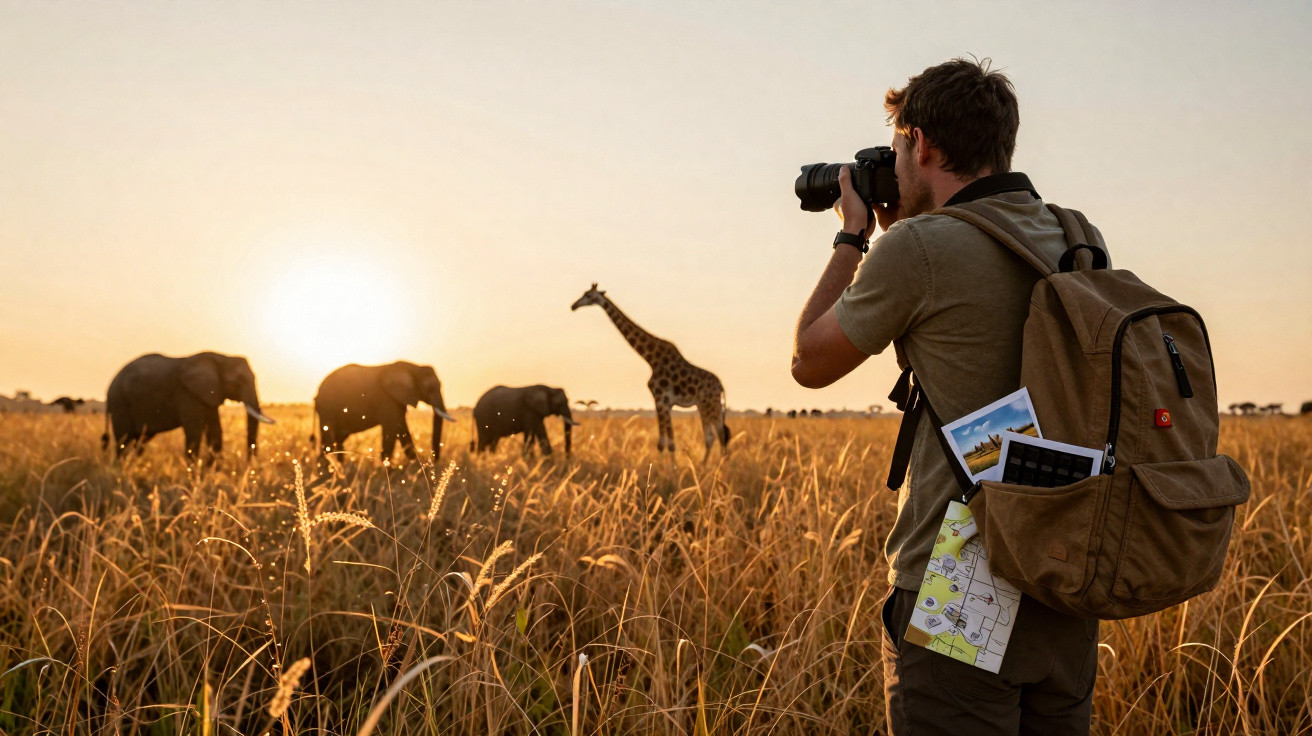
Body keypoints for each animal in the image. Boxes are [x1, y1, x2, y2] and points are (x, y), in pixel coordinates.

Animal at [103, 352, 275, 459]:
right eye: (238, 380)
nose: (249, 468)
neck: (221, 357)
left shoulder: (209, 395)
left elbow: (215, 432)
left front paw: (212, 473)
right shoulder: (187, 394)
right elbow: (194, 432)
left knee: (139, 441)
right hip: (119, 403)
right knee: (123, 440)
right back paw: (122, 469)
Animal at [314, 361, 456, 464]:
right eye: (430, 388)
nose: (434, 460)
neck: (413, 367)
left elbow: (403, 432)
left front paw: (417, 468)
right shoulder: (387, 400)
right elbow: (391, 433)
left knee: (336, 441)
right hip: (327, 408)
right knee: (329, 441)